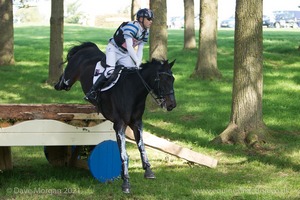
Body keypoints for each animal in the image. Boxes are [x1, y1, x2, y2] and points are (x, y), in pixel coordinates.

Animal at [54, 42, 176, 194]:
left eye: (172, 79)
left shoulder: (137, 123)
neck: (133, 92)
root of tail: (87, 47)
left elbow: (141, 146)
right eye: (162, 80)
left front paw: (148, 171)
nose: (172, 105)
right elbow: (123, 154)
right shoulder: (119, 125)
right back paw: (58, 83)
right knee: (64, 81)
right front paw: (126, 183)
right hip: (69, 78)